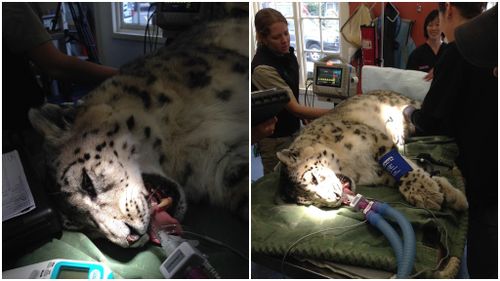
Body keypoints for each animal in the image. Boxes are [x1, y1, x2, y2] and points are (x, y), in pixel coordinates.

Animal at [278, 89, 468, 210]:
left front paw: (427, 193)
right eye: (310, 201)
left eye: (313, 178)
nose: (336, 197)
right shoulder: (379, 174)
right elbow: (407, 172)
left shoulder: (378, 142)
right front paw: (446, 193)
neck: (353, 166)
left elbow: (404, 169)